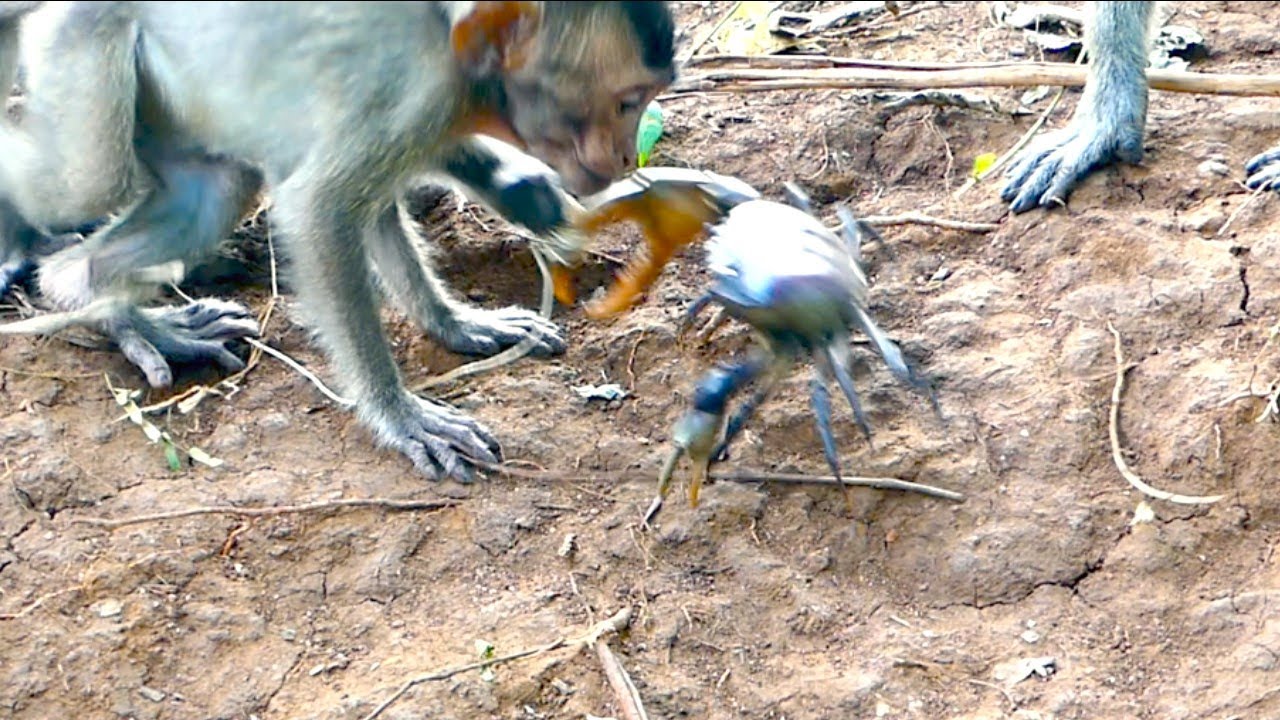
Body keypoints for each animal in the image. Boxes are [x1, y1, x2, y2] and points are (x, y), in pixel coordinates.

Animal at [0, 1, 676, 481]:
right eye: (626, 101)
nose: (625, 154)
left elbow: (367, 207)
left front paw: (457, 323)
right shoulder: (419, 95)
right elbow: (317, 210)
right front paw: (402, 417)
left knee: (215, 188)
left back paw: (99, 298)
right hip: (79, 46)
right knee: (83, 185)